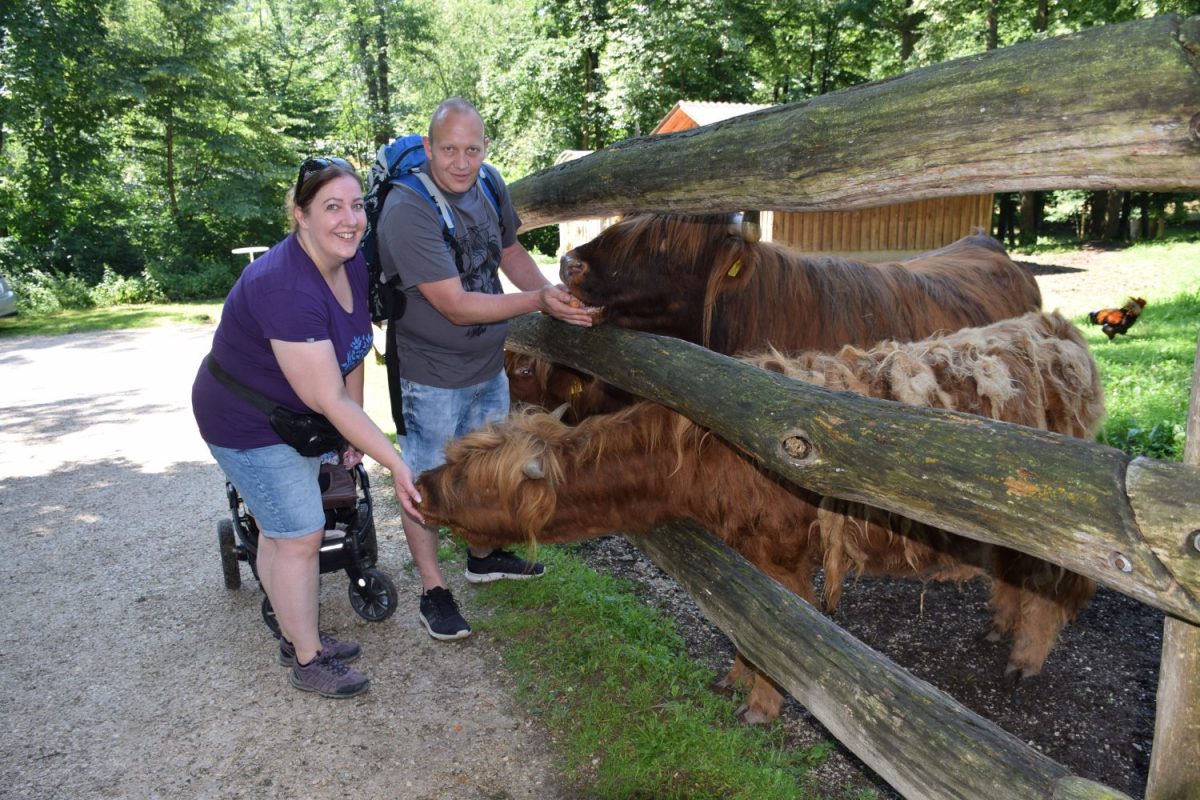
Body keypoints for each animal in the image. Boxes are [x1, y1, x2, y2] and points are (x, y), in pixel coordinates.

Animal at [424, 311, 1104, 724]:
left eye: (467, 481)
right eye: (453, 460)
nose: (422, 487)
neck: (697, 450)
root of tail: (1051, 326)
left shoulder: (782, 556)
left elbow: (775, 637)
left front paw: (760, 705)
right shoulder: (744, 558)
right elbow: (747, 631)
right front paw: (735, 682)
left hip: (1057, 526)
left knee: (1052, 582)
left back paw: (1025, 659)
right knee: (1014, 572)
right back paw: (999, 628)